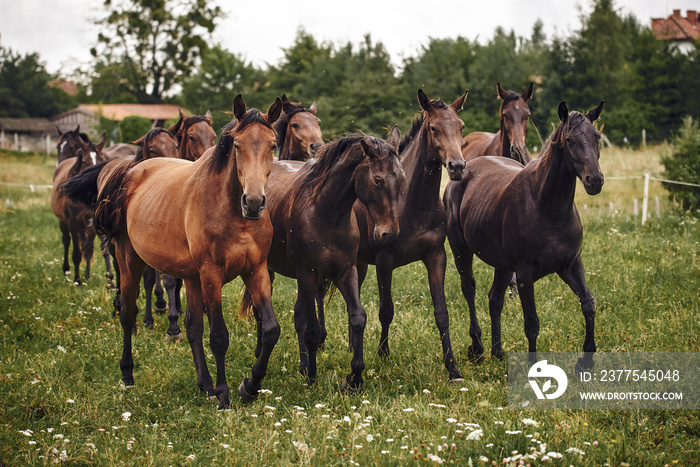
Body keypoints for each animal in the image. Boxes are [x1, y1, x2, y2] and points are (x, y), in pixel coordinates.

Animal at [50, 132, 107, 286]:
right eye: (86, 162)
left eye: (102, 160)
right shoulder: (73, 224)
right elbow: (76, 254)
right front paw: (77, 281)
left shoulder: (92, 224)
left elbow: (90, 249)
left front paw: (89, 276)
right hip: (64, 222)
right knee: (66, 240)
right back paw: (66, 270)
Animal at [94, 96, 284, 410]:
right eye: (237, 145)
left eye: (273, 145)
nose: (254, 202)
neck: (232, 212)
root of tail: (131, 172)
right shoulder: (211, 275)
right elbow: (218, 337)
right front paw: (225, 395)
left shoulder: (255, 271)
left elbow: (270, 330)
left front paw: (250, 386)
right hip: (129, 259)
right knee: (129, 314)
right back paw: (128, 374)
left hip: (192, 278)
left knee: (193, 327)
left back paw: (205, 384)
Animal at [242, 127, 402, 392]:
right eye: (378, 180)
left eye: (400, 178)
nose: (389, 234)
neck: (327, 214)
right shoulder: (307, 275)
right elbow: (312, 331)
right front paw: (312, 378)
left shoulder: (346, 272)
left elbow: (357, 318)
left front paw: (354, 377)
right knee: (260, 311)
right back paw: (261, 354)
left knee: (297, 317)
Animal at [342, 89, 468, 382]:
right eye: (433, 128)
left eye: (461, 126)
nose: (457, 166)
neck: (413, 204)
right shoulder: (385, 261)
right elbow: (386, 310)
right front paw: (383, 353)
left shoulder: (436, 257)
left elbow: (442, 312)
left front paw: (453, 368)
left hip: (359, 264)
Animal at [446, 100, 604, 372]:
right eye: (570, 140)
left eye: (596, 137)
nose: (594, 180)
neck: (548, 211)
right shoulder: (524, 274)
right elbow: (531, 322)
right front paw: (534, 366)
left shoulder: (571, 265)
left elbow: (588, 303)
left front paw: (586, 360)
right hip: (461, 252)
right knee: (469, 290)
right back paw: (477, 348)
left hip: (501, 265)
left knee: (494, 299)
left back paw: (498, 352)